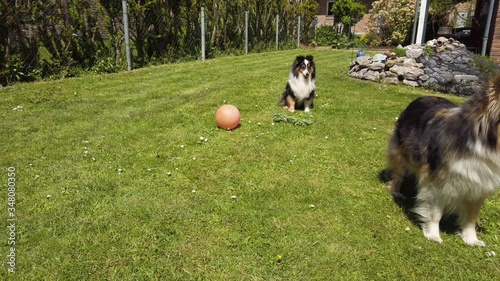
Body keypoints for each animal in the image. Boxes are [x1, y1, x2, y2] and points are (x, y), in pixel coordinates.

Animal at [386, 75, 500, 246]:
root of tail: (421, 97)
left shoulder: (479, 185)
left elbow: (471, 217)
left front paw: (471, 239)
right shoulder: (436, 182)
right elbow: (435, 213)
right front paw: (433, 235)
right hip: (403, 153)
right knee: (398, 174)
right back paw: (395, 191)